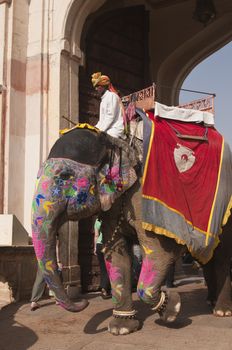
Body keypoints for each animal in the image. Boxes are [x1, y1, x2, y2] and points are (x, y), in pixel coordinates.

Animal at [31, 105, 232, 334]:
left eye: (64, 176)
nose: (84, 301)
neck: (117, 143)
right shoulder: (114, 205)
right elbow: (116, 254)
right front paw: (122, 328)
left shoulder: (143, 199)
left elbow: (158, 251)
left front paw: (172, 308)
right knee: (207, 256)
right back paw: (210, 301)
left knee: (221, 255)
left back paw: (222, 311)